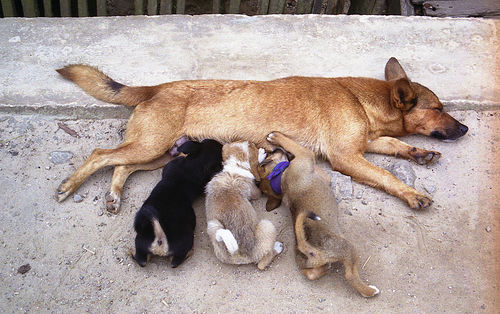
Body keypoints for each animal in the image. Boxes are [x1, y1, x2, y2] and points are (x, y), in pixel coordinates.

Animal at [55, 57, 468, 212]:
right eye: (438, 108)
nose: (465, 129)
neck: (362, 99)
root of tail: (155, 88)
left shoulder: (366, 143)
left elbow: (397, 144)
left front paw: (419, 154)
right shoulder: (347, 157)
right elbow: (385, 174)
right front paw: (412, 193)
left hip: (157, 153)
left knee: (120, 164)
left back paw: (113, 196)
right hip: (150, 145)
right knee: (100, 155)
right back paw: (69, 185)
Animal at [133, 140, 223, 268]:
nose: (222, 144)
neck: (194, 165)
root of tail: (160, 239)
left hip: (141, 242)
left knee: (144, 260)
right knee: (173, 261)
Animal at [258, 131, 378, 298]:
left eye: (269, 155)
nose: (274, 149)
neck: (280, 178)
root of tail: (312, 251)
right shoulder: (305, 154)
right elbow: (293, 144)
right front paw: (275, 136)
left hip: (308, 264)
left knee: (312, 274)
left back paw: (325, 269)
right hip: (349, 249)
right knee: (351, 275)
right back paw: (370, 290)